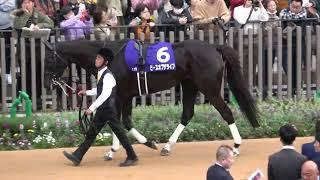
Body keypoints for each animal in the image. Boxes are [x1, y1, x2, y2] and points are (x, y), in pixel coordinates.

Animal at [43, 39, 260, 159]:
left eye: (49, 59)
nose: (46, 83)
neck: (113, 57)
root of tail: (214, 47)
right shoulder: (124, 95)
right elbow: (120, 122)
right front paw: (117, 149)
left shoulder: (121, 94)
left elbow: (120, 122)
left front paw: (139, 144)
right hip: (189, 85)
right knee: (187, 114)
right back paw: (167, 146)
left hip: (210, 89)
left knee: (226, 112)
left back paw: (236, 146)